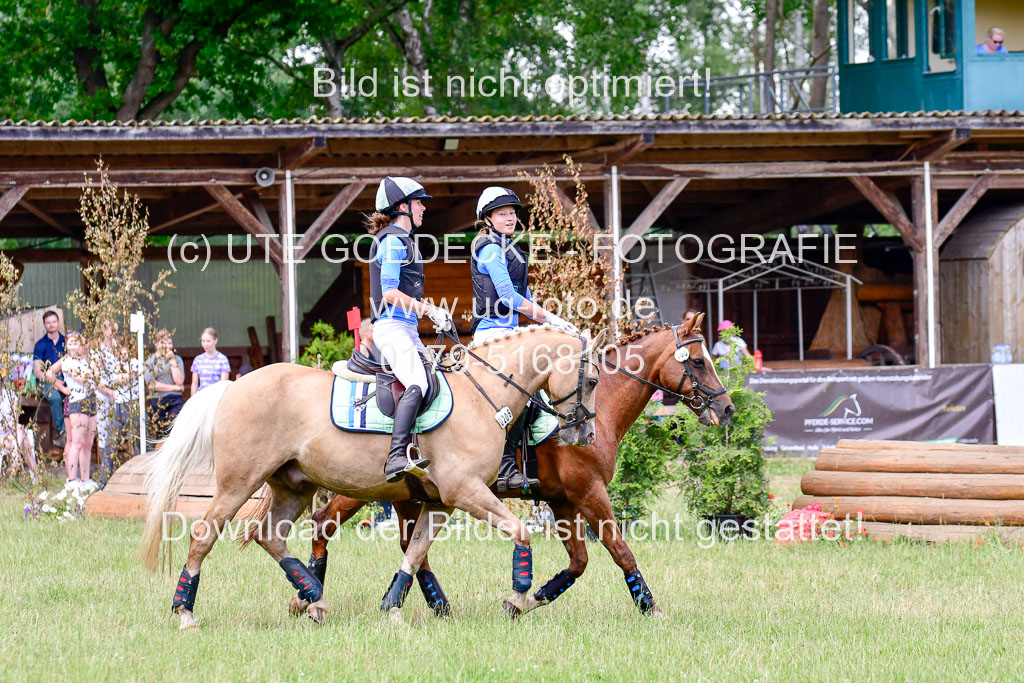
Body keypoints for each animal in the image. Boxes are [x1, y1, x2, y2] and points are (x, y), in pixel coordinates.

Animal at [136, 325, 598, 630]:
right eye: (591, 380)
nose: (586, 435)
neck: (482, 396)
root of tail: (232, 384)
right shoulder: (464, 492)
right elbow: (520, 530)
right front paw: (518, 597)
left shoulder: (440, 502)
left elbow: (415, 553)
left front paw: (392, 606)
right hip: (238, 483)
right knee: (203, 535)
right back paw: (186, 612)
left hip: (293, 486)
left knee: (270, 536)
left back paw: (314, 599)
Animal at [296, 313, 737, 618]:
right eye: (699, 362)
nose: (727, 409)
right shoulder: (589, 492)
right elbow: (620, 551)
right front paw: (650, 607)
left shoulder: (563, 500)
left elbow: (579, 562)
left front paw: (526, 600)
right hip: (363, 486)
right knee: (325, 522)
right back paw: (313, 599)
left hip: (407, 493)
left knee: (406, 545)